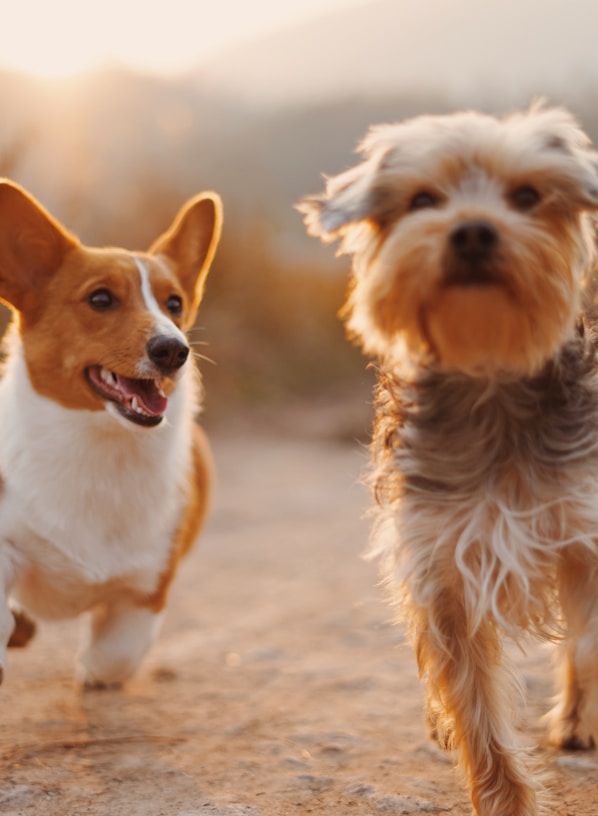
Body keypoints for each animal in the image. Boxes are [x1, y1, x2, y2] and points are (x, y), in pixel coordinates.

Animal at [0, 180, 223, 688]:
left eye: (174, 304)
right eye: (100, 299)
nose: (174, 350)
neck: (98, 446)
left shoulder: (147, 588)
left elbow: (115, 655)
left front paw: (92, 671)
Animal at [300, 108, 598, 816]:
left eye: (527, 195)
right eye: (422, 200)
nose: (472, 230)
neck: (490, 372)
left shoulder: (585, 529)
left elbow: (588, 642)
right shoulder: (440, 562)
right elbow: (473, 701)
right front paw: (506, 799)